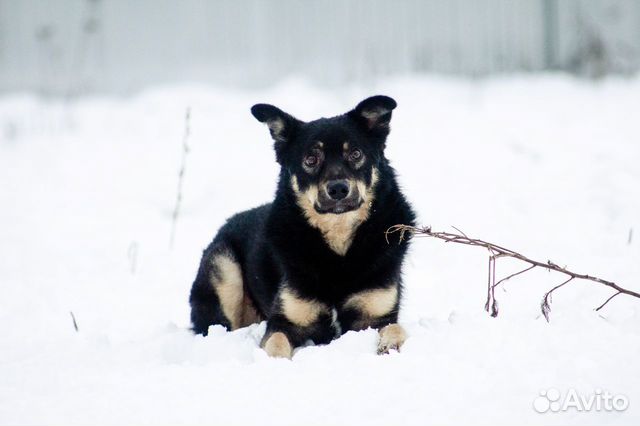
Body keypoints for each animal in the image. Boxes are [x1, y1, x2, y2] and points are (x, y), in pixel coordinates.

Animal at [189, 95, 416, 356]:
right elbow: (277, 342)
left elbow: (396, 329)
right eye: (311, 159)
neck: (338, 244)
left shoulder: (376, 315)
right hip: (224, 269)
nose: (338, 189)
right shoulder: (285, 321)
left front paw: (390, 345)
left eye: (356, 154)